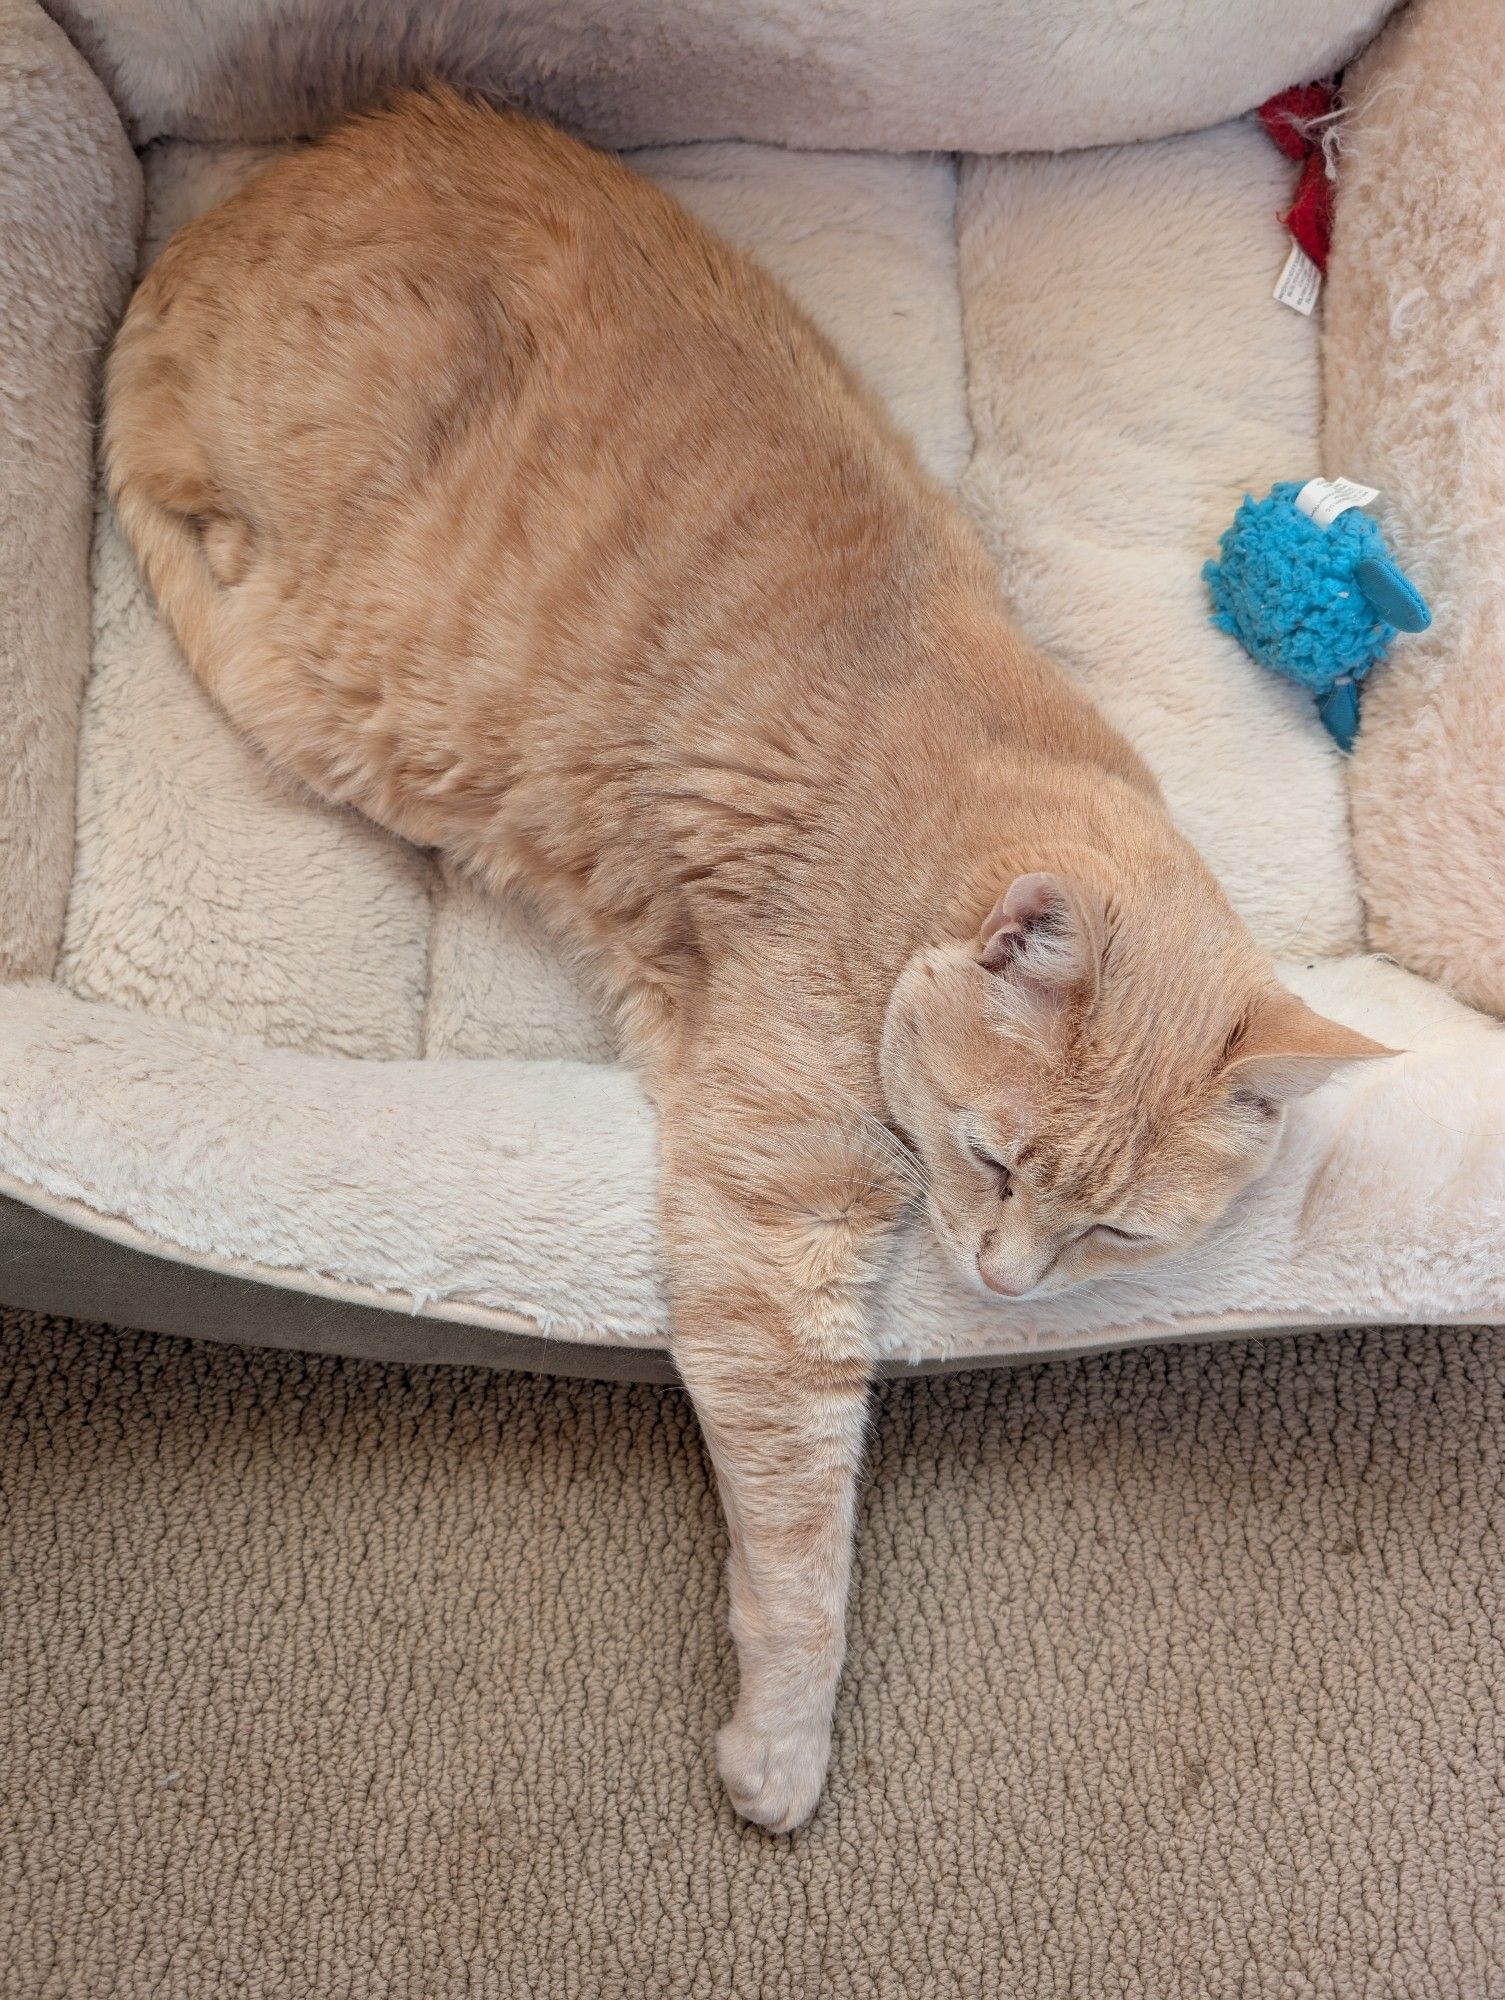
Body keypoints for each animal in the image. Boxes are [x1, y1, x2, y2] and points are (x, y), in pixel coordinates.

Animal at [106, 90, 1384, 1832]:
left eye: (1113, 1231)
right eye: (992, 1162)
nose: (1003, 1282)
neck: (937, 818)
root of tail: (252, 200)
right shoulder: (769, 1244)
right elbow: (800, 1547)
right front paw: (781, 1749)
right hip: (306, 672)